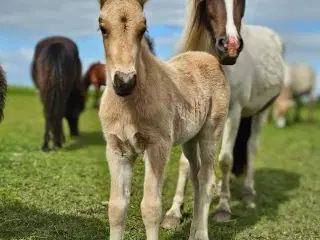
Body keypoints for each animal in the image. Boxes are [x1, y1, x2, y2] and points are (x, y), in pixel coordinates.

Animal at [98, 0, 230, 238]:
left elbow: (151, 208)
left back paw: (201, 234)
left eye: (143, 29)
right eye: (103, 28)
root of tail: (208, 57)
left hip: (211, 131)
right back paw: (192, 232)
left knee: (207, 180)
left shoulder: (158, 146)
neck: (129, 107)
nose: (124, 82)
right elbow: (116, 207)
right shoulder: (116, 149)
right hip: (190, 139)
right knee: (196, 178)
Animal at [160, 0, 284, 229]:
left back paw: (248, 191)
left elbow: (226, 159)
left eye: (242, 2)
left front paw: (223, 209)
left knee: (251, 148)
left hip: (260, 113)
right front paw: (174, 212)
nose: (231, 46)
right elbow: (184, 163)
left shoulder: (234, 111)